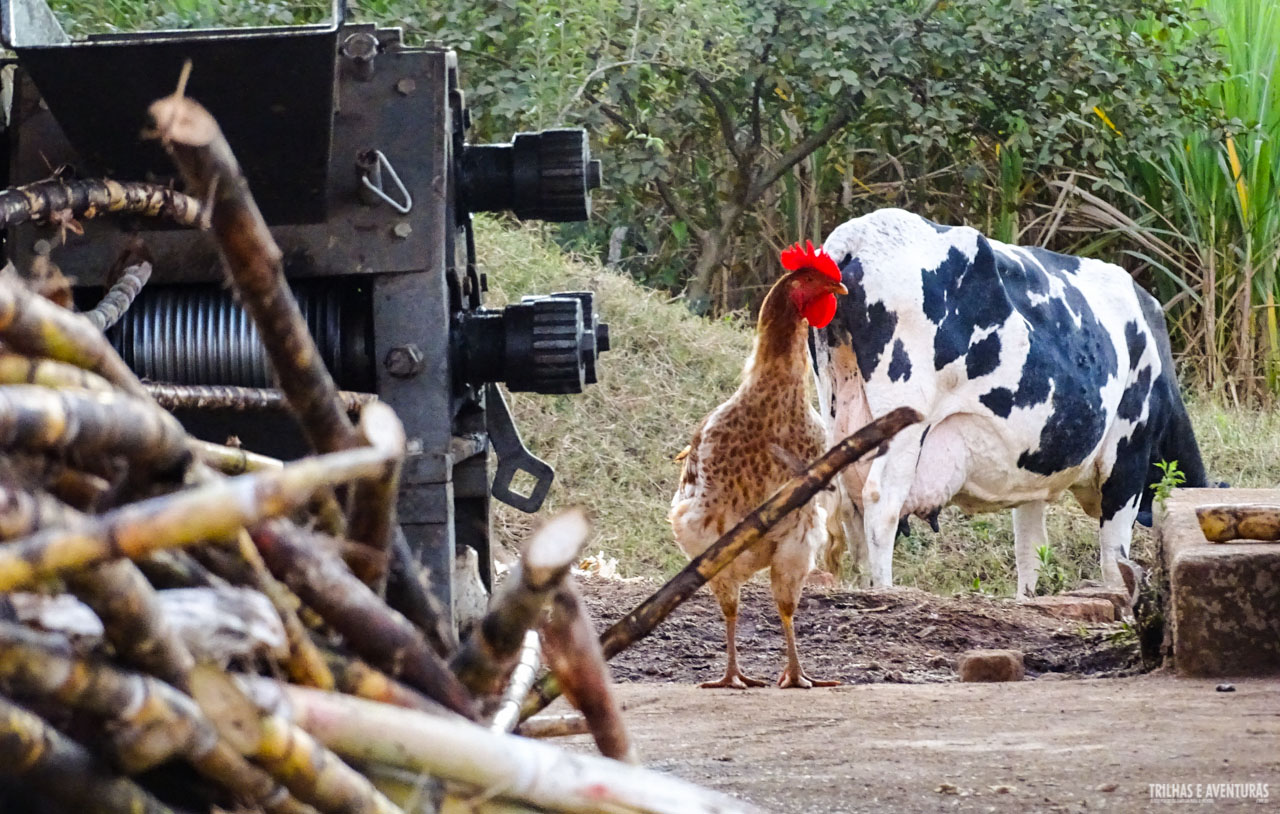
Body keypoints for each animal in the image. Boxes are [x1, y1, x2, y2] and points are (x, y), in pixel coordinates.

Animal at [814, 206, 1203, 593]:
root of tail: (858, 234)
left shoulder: (1032, 479)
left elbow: (1029, 553)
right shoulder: (1128, 455)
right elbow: (1114, 560)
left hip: (839, 412)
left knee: (849, 504)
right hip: (905, 418)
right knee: (881, 503)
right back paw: (885, 589)